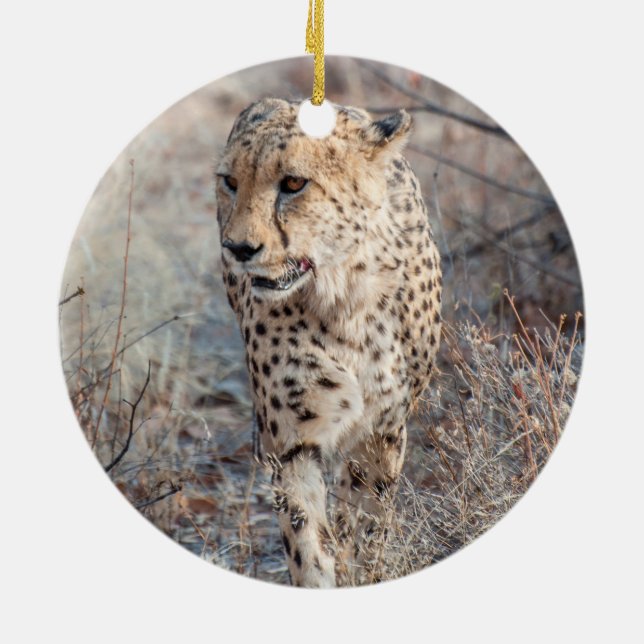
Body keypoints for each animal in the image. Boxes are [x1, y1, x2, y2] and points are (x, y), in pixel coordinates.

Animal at [215, 97, 442, 587]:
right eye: (230, 182)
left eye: (294, 183)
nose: (238, 248)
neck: (343, 297)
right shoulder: (292, 443)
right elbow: (308, 546)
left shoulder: (382, 431)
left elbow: (368, 531)